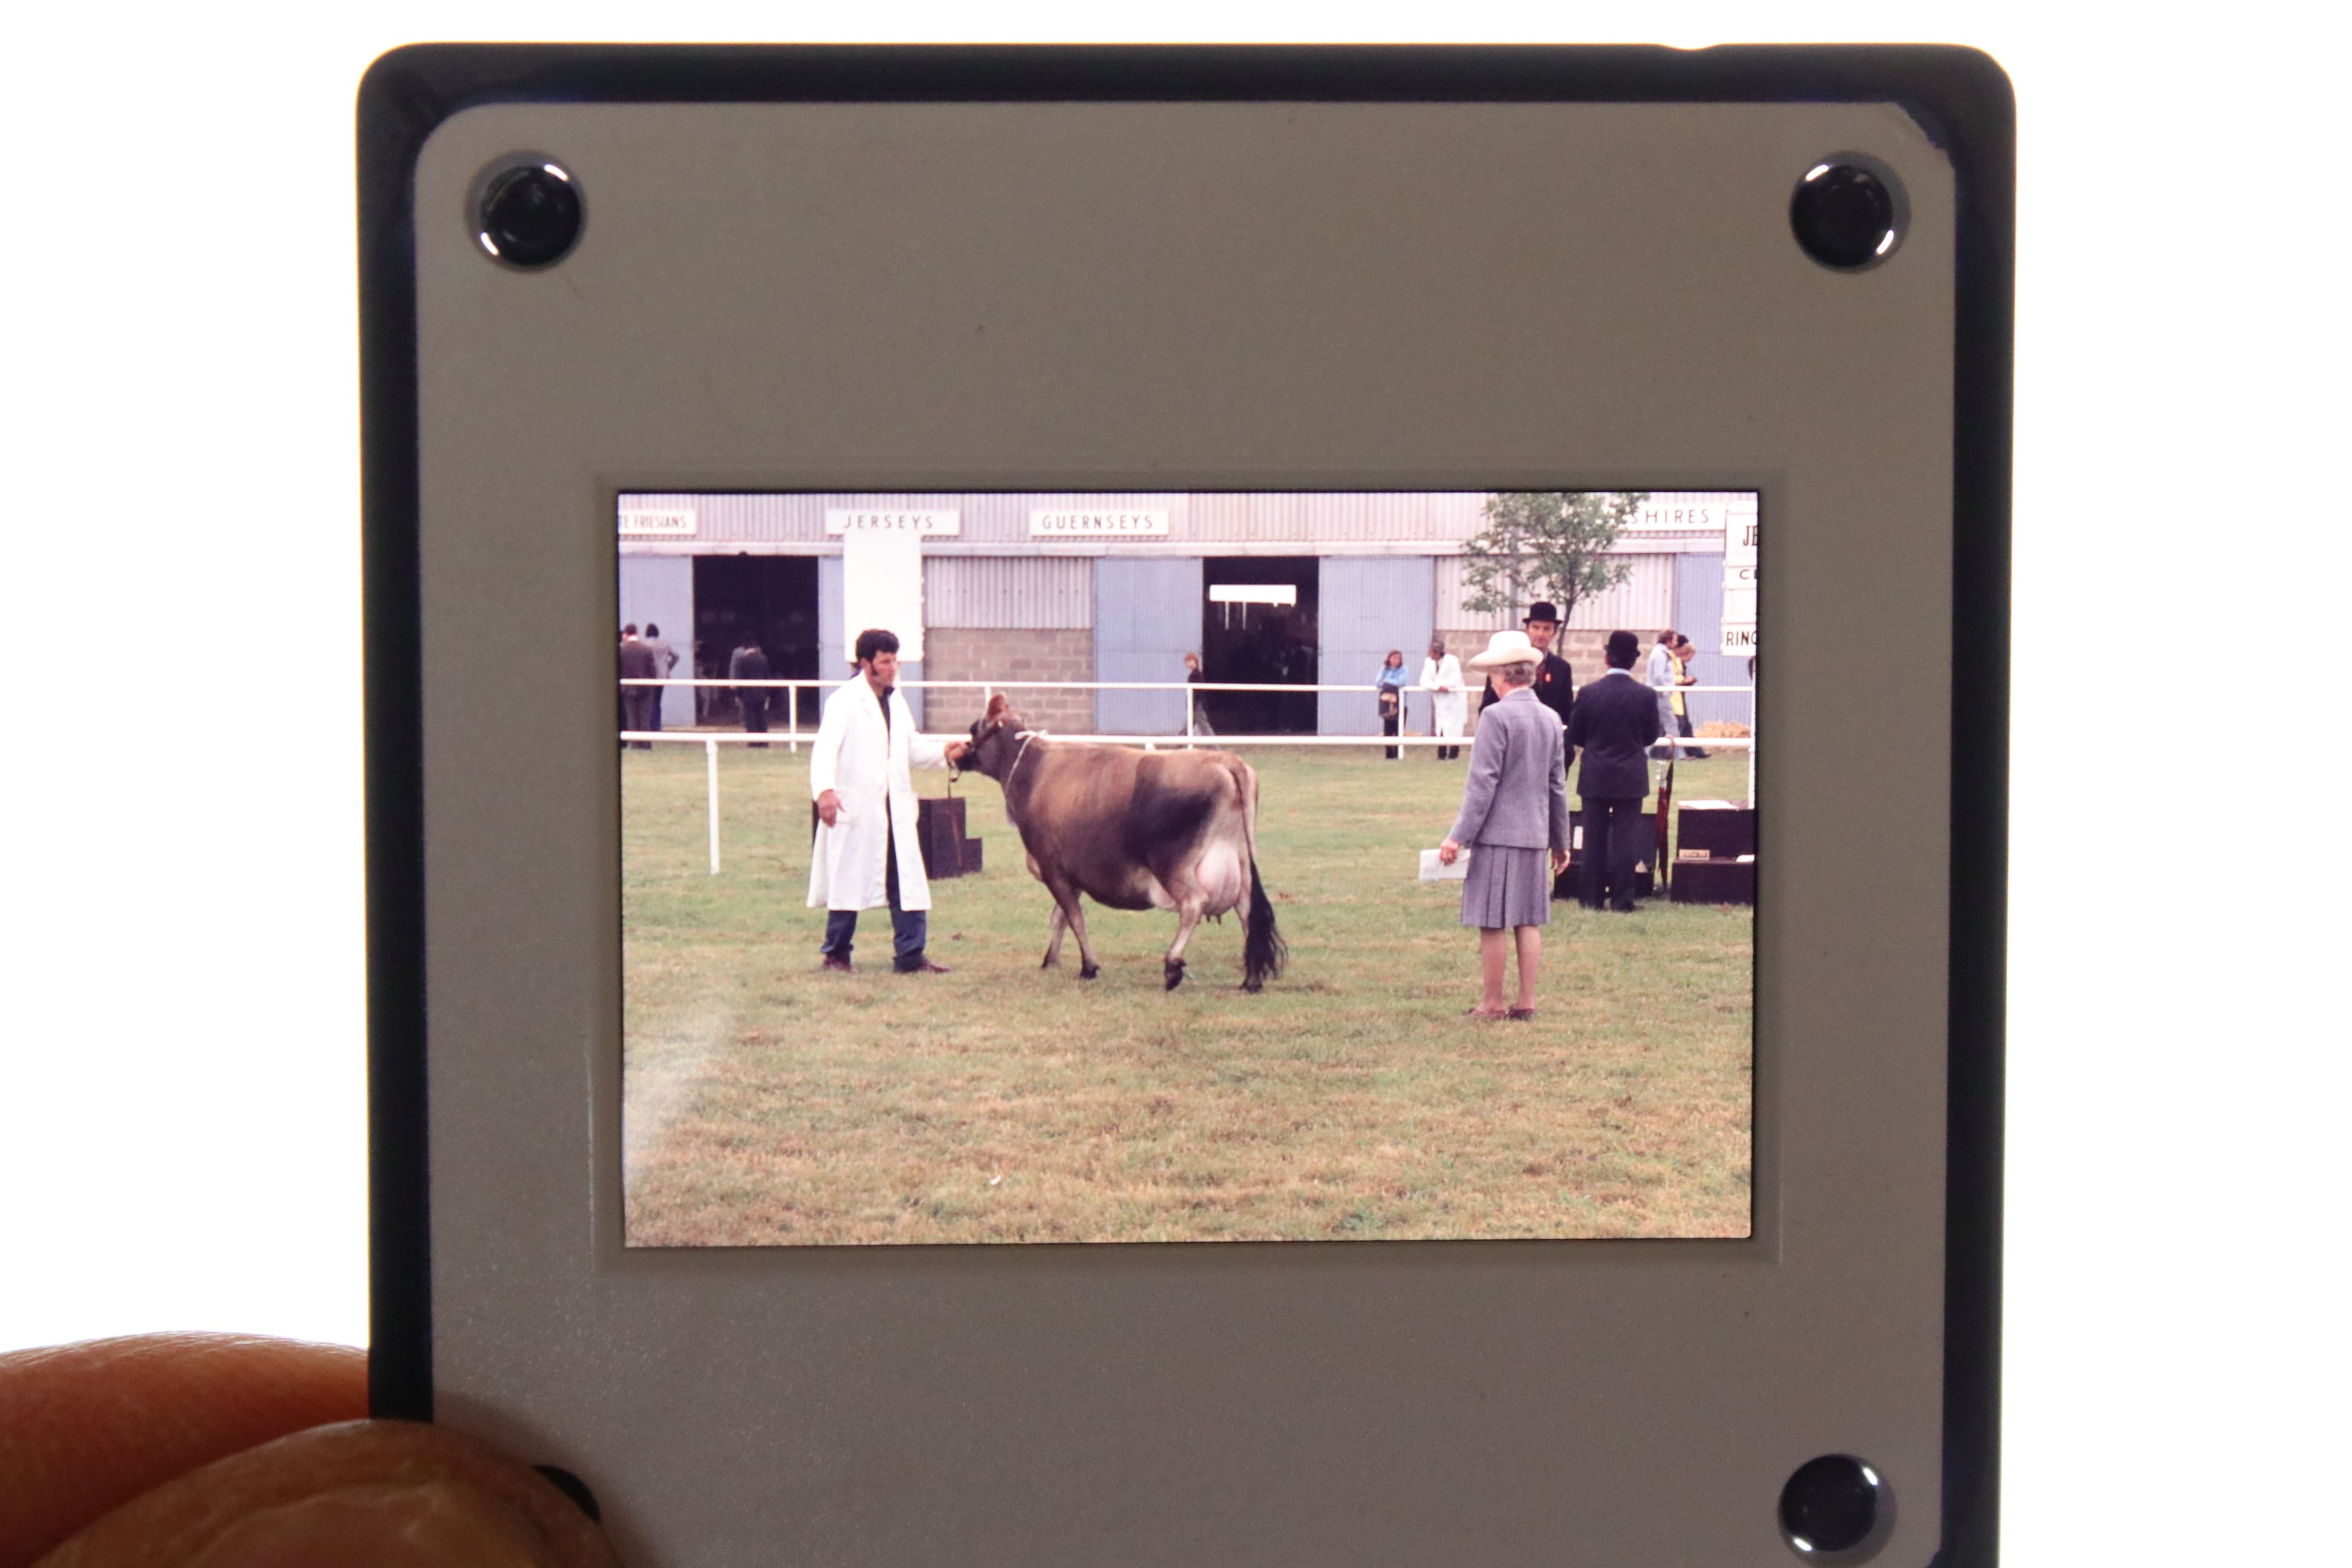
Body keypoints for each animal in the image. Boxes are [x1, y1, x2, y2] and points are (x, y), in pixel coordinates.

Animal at [955, 700, 1289, 992]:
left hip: (1172, 865)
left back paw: (1172, 966)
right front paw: (1051, 960)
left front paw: (1088, 966)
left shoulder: (1052, 867)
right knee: (1246, 910)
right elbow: (1060, 917)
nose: (958, 755)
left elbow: (1074, 917)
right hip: (1240, 861)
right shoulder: (1072, 870)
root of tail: (1225, 760)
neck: (1033, 770)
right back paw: (1251, 980)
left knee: (1194, 904)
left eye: (973, 727)